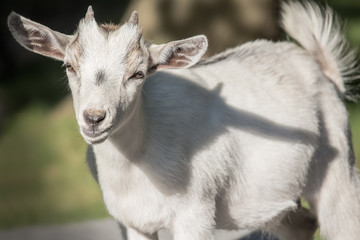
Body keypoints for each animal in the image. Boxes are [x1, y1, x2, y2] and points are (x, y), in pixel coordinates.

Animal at [7, 0, 360, 239]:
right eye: (69, 66)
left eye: (139, 74)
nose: (94, 118)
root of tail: (323, 71)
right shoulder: (133, 221)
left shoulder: (195, 214)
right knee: (301, 224)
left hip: (338, 170)